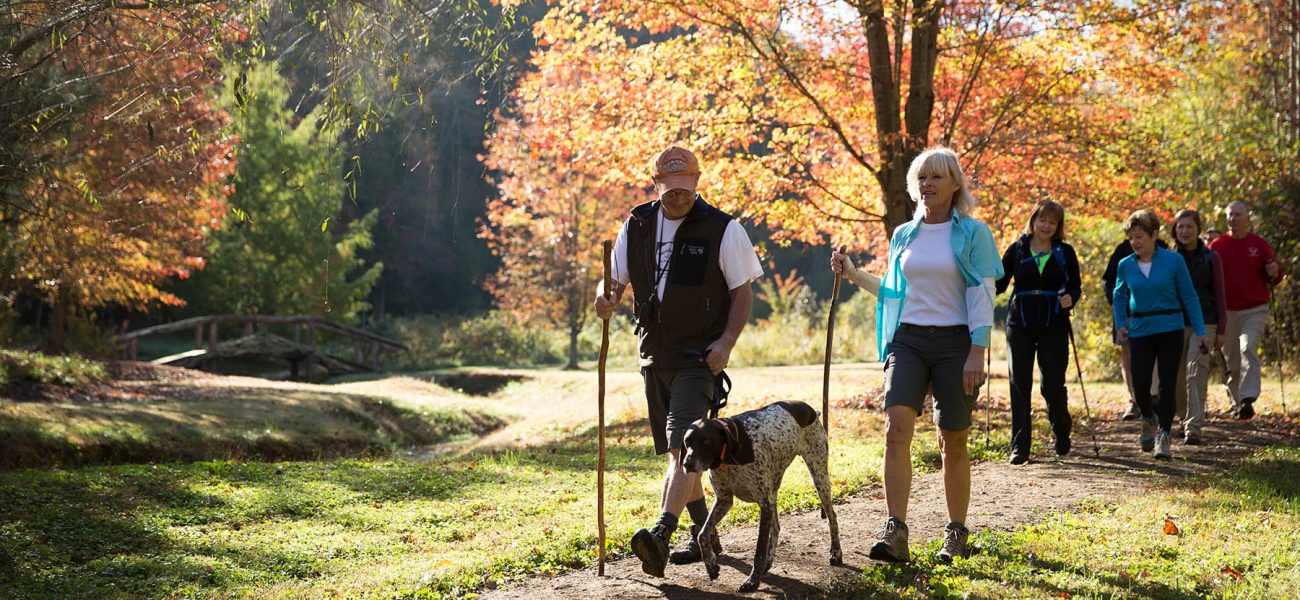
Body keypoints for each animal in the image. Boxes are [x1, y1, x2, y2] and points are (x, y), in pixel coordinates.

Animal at [681, 400, 842, 592]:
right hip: (775, 488)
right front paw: (711, 566)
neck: (729, 457)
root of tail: (810, 409)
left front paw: (752, 581)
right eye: (687, 442)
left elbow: (759, 550)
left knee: (832, 517)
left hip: (818, 477)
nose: (686, 464)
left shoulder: (764, 503)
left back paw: (836, 553)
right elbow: (702, 535)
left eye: (706, 441)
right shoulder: (724, 501)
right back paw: (769, 561)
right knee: (776, 527)